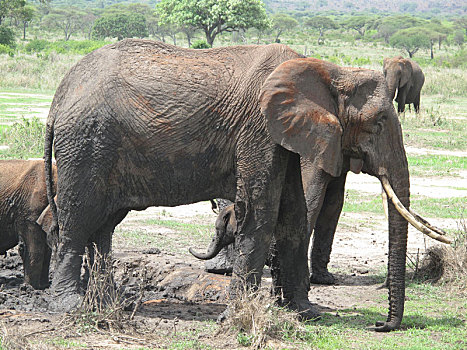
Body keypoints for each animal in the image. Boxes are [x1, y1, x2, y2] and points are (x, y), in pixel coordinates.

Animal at [44, 40, 438, 330]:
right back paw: (72, 306)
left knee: (103, 225)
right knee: (78, 220)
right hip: (86, 144)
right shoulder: (259, 129)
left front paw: (306, 313)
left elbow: (293, 218)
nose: (381, 326)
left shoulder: (285, 135)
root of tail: (59, 94)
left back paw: (105, 301)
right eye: (379, 121)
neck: (327, 70)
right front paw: (236, 317)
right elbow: (261, 214)